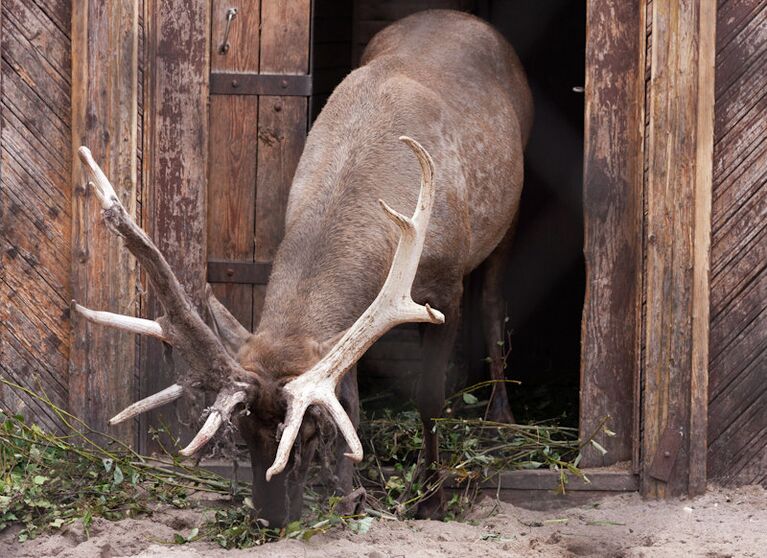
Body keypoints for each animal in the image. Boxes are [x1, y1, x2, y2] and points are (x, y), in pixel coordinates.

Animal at [72, 12, 532, 528]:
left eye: (307, 432)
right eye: (243, 432)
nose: (270, 516)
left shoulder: (443, 287)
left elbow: (429, 397)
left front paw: (432, 499)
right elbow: (350, 401)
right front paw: (349, 495)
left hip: (512, 208)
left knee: (493, 303)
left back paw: (501, 417)